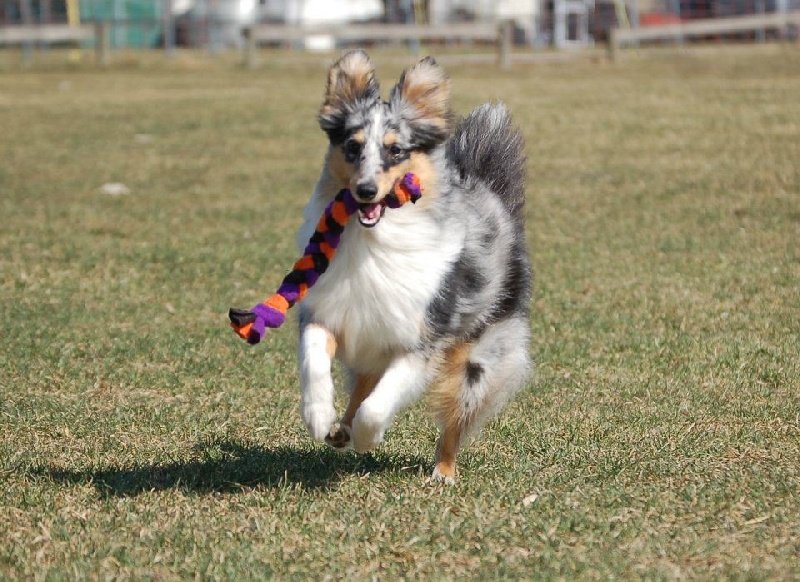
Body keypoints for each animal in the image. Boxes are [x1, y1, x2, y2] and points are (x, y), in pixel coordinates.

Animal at [294, 50, 532, 484]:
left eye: (396, 151)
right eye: (352, 147)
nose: (365, 191)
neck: (374, 241)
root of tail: (490, 193)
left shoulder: (420, 342)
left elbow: (378, 405)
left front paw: (367, 438)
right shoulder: (329, 312)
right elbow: (315, 362)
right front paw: (319, 417)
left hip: (479, 359)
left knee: (454, 421)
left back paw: (443, 473)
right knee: (362, 385)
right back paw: (340, 429)